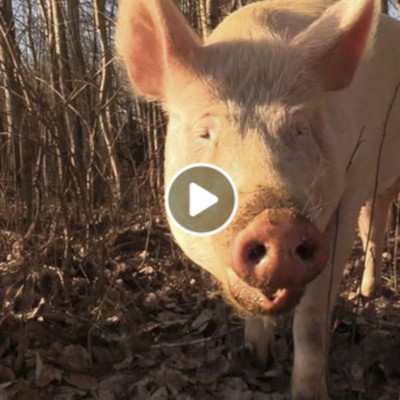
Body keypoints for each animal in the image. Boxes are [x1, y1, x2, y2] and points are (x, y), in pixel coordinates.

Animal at [115, 0, 400, 398]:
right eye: (205, 133)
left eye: (300, 129)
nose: (278, 223)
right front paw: (256, 359)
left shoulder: (346, 193)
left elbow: (311, 318)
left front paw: (308, 393)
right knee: (374, 222)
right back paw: (368, 293)